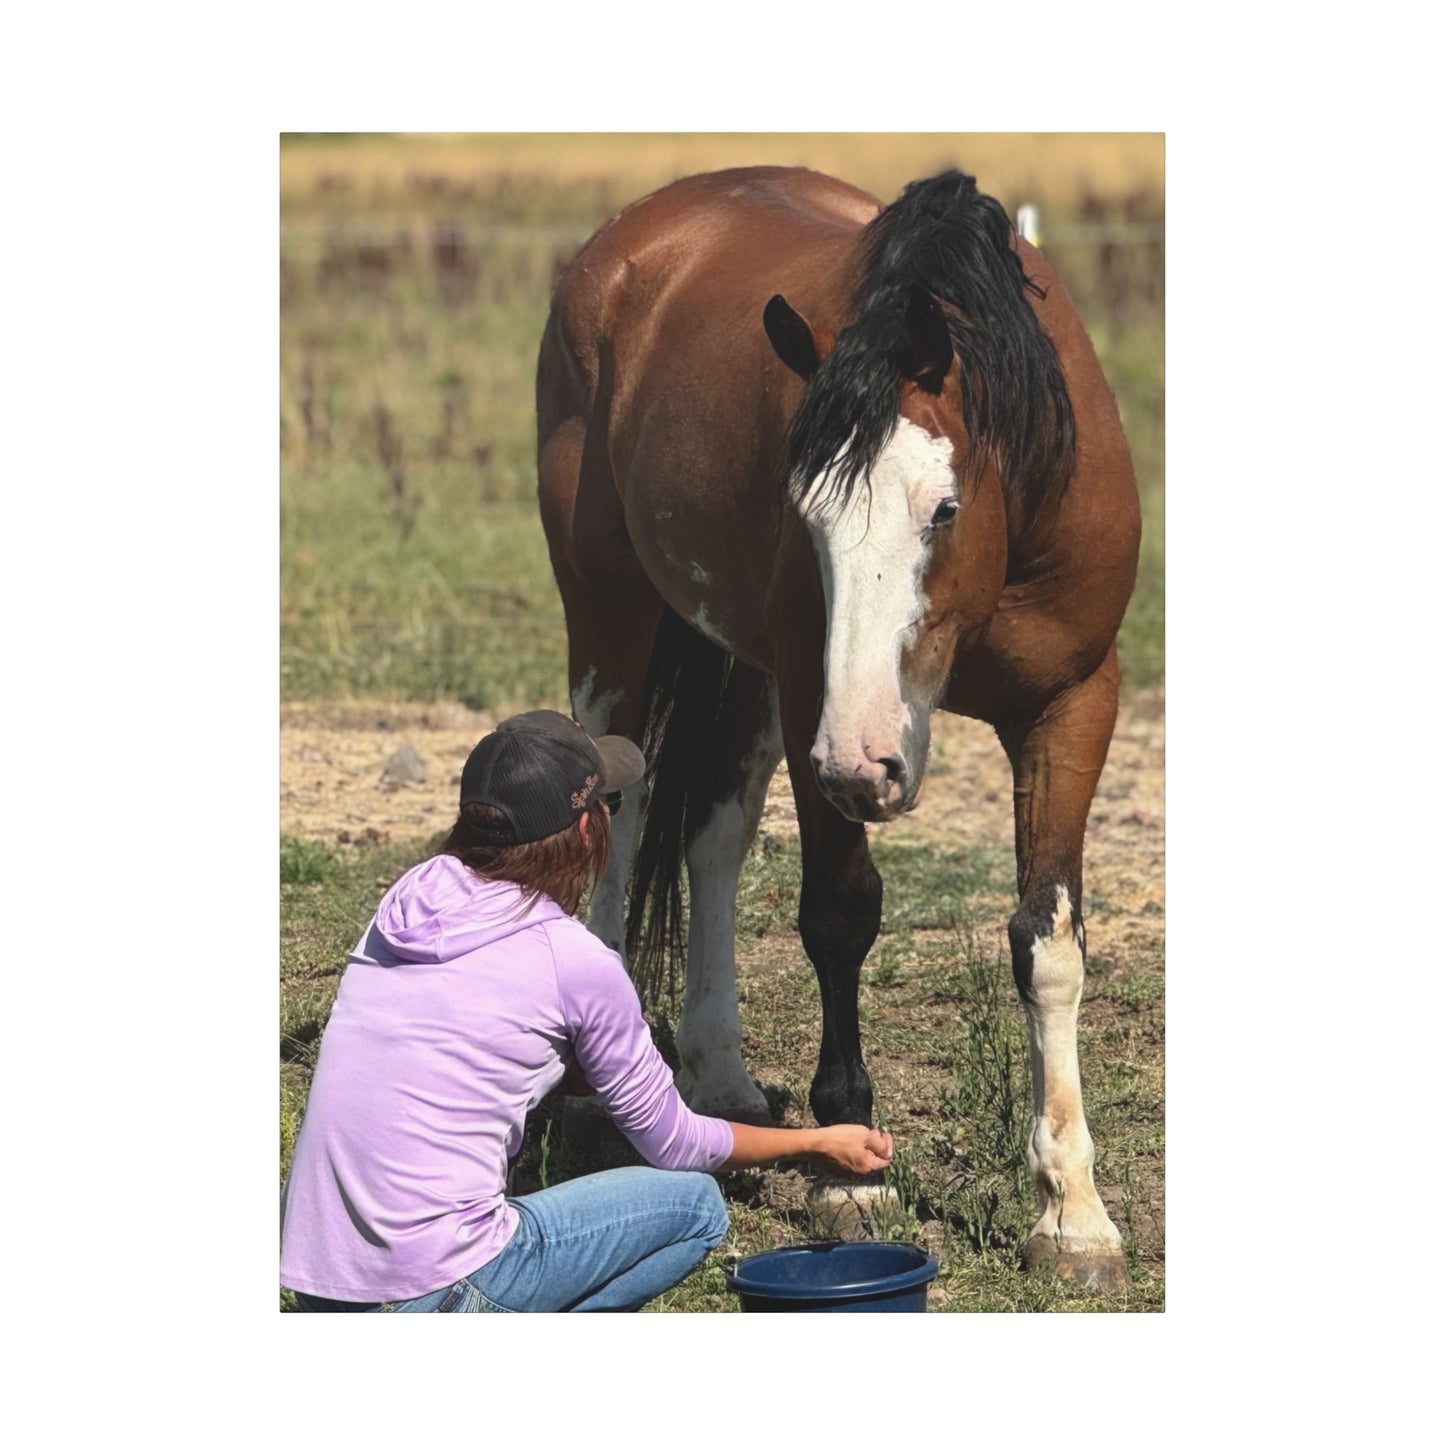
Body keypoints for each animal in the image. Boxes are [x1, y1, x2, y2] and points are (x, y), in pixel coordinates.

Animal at [536, 166, 1141, 1287]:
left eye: (943, 508)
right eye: (807, 512)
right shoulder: (816, 709)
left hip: (747, 673)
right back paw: (598, 1077)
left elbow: (1046, 942)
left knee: (715, 835)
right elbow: (838, 913)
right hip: (613, 612)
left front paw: (1070, 1211)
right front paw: (847, 1167)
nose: (867, 765)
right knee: (620, 811)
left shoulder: (1071, 704)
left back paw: (720, 1077)